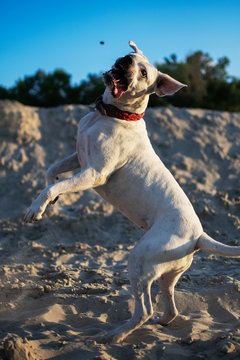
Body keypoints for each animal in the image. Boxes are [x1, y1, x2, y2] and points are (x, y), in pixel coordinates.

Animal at [24, 42, 240, 344]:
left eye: (143, 72)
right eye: (133, 57)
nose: (126, 59)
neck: (111, 114)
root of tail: (199, 235)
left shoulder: (94, 173)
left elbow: (55, 184)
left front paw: (37, 207)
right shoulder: (79, 158)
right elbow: (51, 172)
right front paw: (49, 201)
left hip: (140, 260)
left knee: (144, 310)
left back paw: (113, 336)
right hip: (167, 273)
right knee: (169, 306)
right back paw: (160, 323)